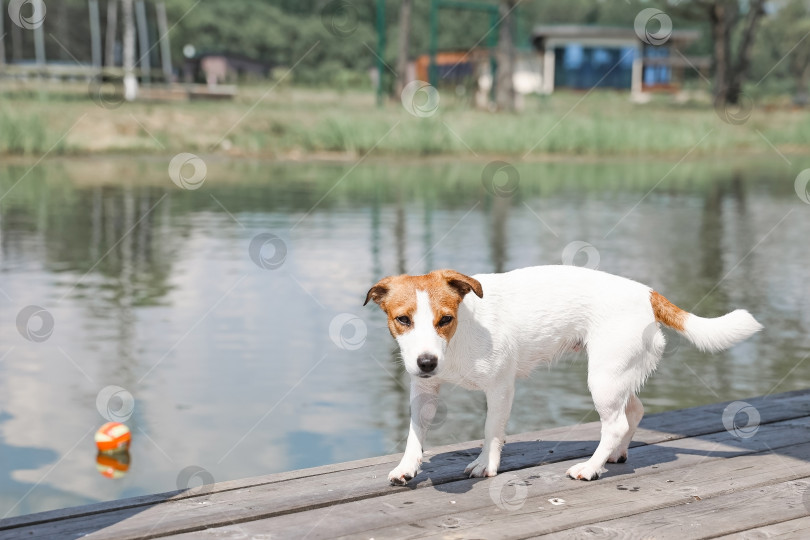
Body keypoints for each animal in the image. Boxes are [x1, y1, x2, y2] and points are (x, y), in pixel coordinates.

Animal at [362, 268, 760, 484]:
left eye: (445, 318)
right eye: (403, 319)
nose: (427, 362)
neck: (460, 336)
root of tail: (645, 292)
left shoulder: (500, 389)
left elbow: (491, 432)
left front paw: (485, 465)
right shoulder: (423, 393)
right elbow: (415, 433)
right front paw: (407, 467)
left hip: (602, 378)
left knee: (615, 423)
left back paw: (590, 468)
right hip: (618, 373)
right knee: (635, 411)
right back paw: (616, 454)